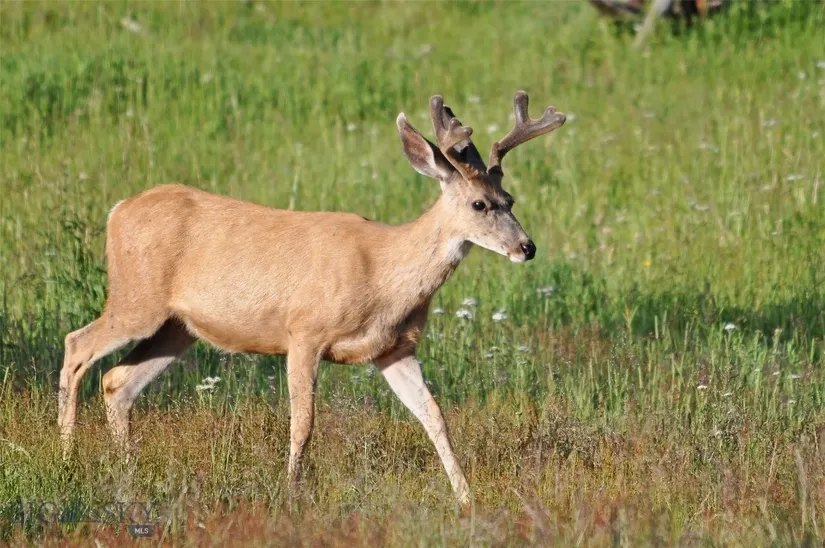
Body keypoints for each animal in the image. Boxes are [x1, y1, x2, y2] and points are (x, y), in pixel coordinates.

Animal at [57, 91, 565, 505]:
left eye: (510, 199)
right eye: (480, 204)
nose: (527, 247)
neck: (383, 275)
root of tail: (117, 210)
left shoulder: (394, 349)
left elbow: (435, 415)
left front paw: (466, 497)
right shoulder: (304, 331)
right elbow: (303, 420)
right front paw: (291, 491)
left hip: (178, 326)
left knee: (117, 381)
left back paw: (125, 469)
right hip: (137, 298)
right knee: (76, 345)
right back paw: (66, 457)